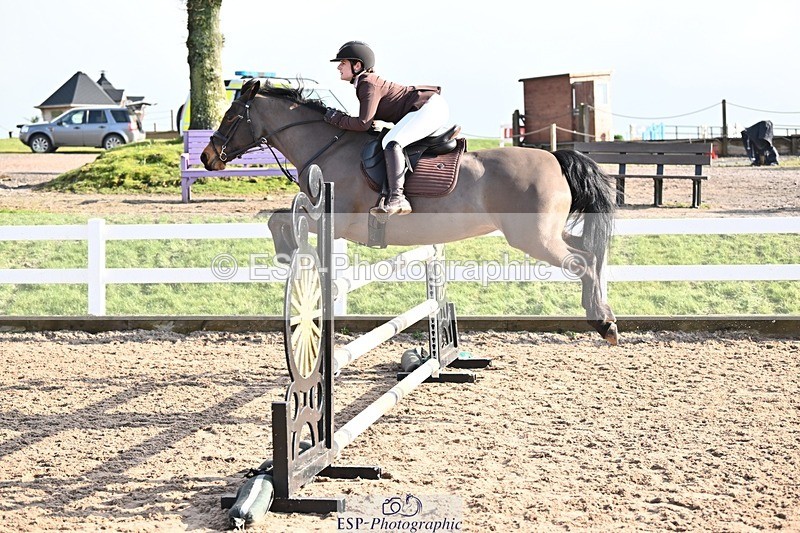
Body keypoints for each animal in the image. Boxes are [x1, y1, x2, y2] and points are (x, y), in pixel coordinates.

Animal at [201, 79, 619, 344]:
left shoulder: (335, 219)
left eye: (230, 117)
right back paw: (603, 315)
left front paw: (288, 253)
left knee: (583, 261)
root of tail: (555, 157)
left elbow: (278, 219)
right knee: (590, 253)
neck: (327, 146)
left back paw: (602, 322)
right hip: (547, 233)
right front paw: (290, 254)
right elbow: (277, 217)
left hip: (532, 237)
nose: (207, 158)